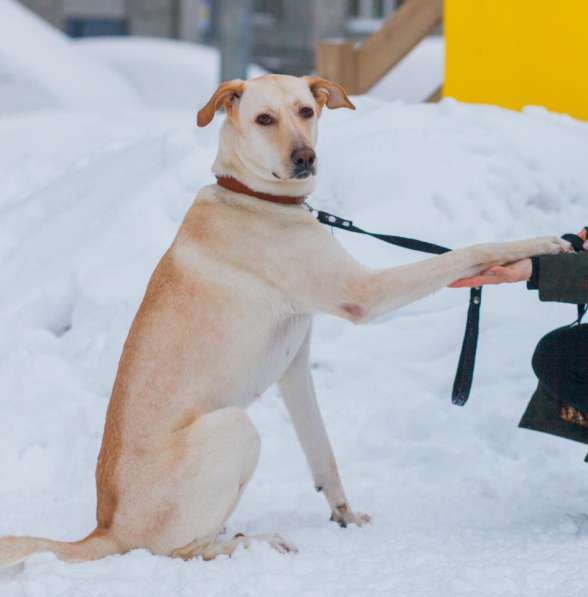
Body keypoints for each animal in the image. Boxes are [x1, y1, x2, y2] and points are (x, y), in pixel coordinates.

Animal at [0, 73, 568, 564]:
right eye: (263, 119)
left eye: (306, 111)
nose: (305, 158)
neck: (254, 197)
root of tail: (105, 530)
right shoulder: (363, 294)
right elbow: (468, 251)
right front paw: (542, 243)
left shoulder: (295, 368)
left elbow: (324, 451)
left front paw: (345, 516)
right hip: (235, 427)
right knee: (182, 550)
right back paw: (252, 541)